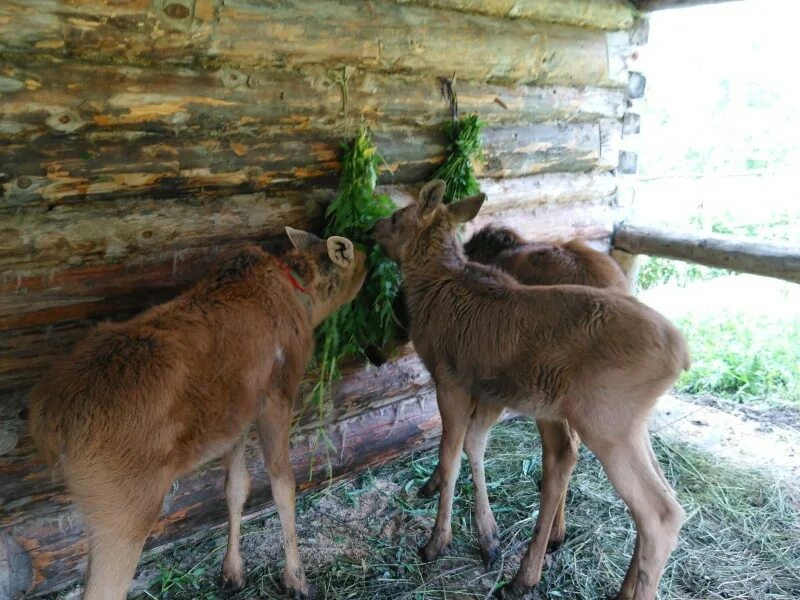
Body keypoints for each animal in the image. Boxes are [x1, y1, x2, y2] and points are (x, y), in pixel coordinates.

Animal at [29, 229, 368, 600]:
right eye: (358, 257)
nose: (370, 257)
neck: (306, 304)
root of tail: (49, 425)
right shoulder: (277, 395)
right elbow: (283, 485)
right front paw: (296, 579)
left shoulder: (237, 417)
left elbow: (236, 487)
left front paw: (232, 572)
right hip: (124, 506)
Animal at [374, 183, 688, 600]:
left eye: (397, 217)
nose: (372, 228)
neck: (432, 287)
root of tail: (682, 356)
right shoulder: (487, 388)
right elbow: (475, 446)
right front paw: (488, 538)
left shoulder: (450, 380)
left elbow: (450, 454)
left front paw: (437, 540)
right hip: (630, 423)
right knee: (659, 494)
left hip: (606, 422)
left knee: (658, 512)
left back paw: (533, 574)